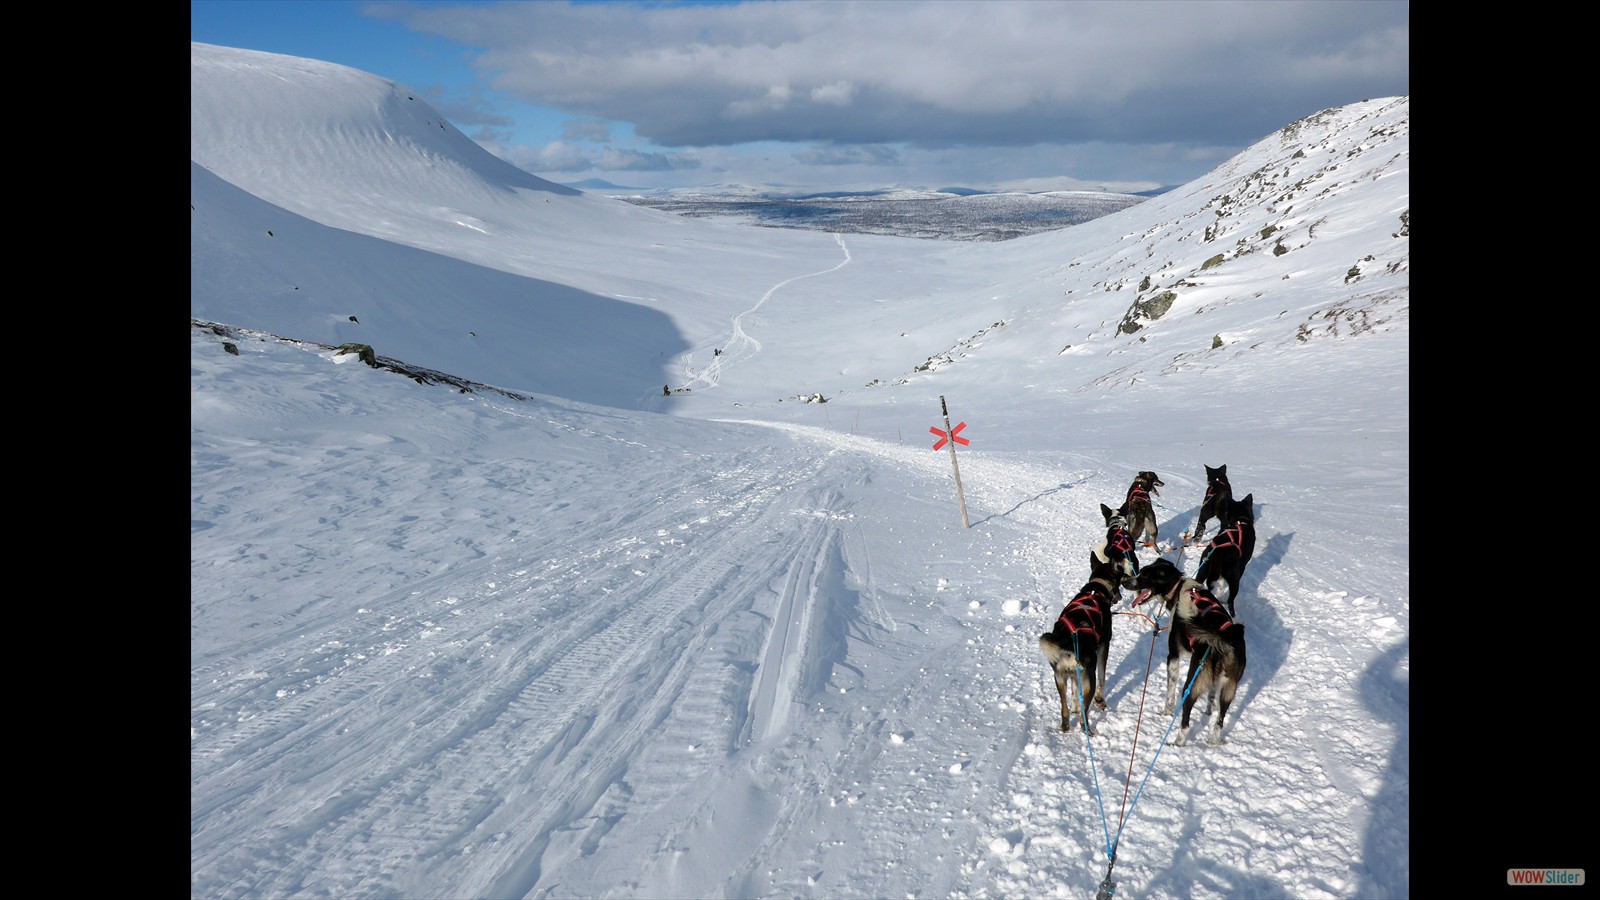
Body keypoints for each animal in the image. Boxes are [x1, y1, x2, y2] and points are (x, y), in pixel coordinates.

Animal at [1043, 550, 1120, 733]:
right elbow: (1102, 677)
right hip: (1088, 678)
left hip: (1060, 678)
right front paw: (1100, 700)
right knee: (1083, 716)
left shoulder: (1072, 676)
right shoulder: (1104, 646)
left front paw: (1075, 707)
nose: (1120, 596)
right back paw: (1088, 729)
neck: (1096, 589)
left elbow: (1074, 693)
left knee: (1064, 708)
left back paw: (1065, 725)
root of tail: (1069, 643)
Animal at [1132, 560, 1241, 743]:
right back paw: (1213, 741)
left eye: (1144, 576)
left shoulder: (1173, 656)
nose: (1125, 581)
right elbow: (1211, 698)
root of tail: (1223, 639)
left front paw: (1167, 712)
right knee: (1219, 722)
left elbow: (1170, 691)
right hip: (1228, 691)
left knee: (1186, 721)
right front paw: (1208, 711)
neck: (1178, 589)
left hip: (1192, 684)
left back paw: (1177, 742)